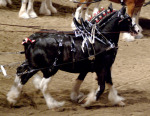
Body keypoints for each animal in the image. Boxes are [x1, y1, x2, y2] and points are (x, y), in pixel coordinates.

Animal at [6, 5, 138, 109]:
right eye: (128, 19)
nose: (137, 30)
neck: (100, 37)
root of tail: (32, 39)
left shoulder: (96, 66)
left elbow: (104, 82)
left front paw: (116, 100)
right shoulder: (102, 67)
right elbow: (102, 86)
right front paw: (87, 101)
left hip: (33, 64)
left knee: (21, 72)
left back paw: (13, 97)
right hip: (50, 69)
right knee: (41, 84)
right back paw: (54, 105)